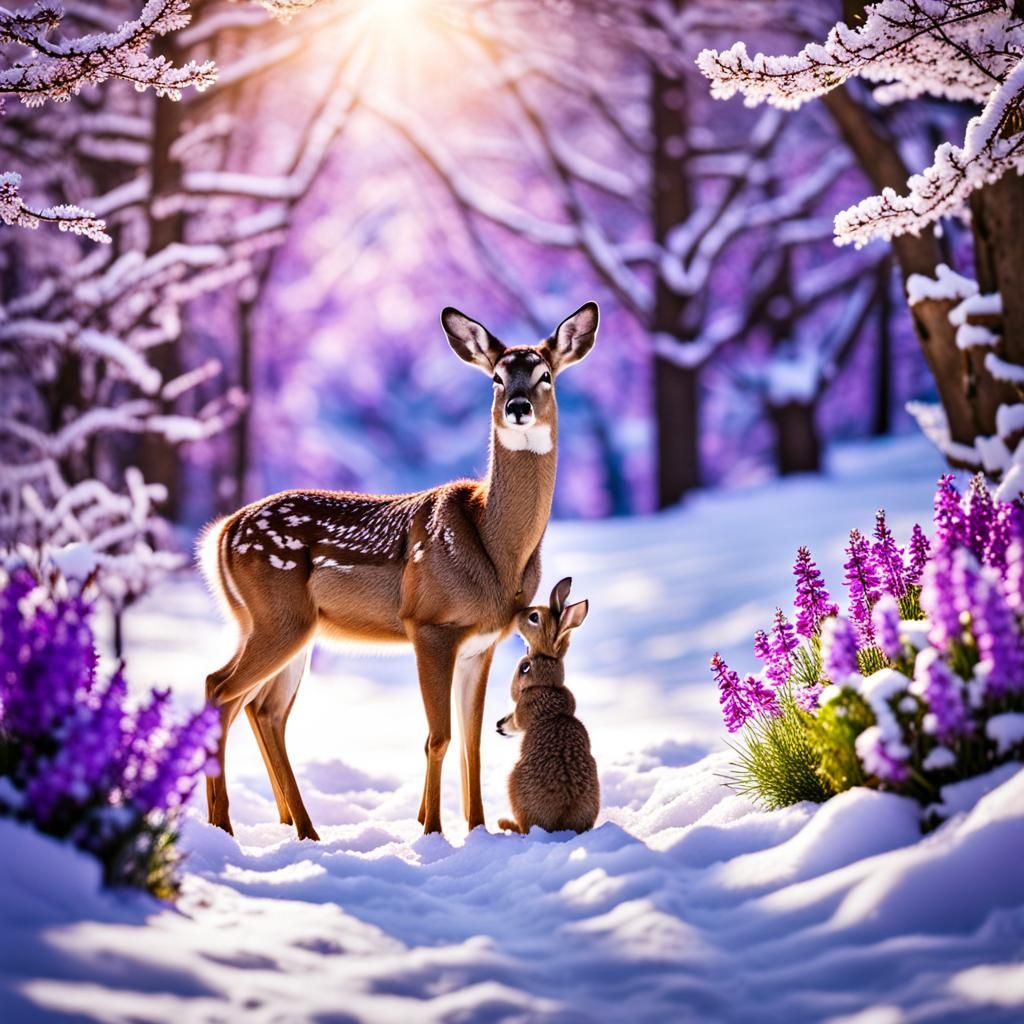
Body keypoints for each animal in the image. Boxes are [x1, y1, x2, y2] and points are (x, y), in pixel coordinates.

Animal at [496, 577, 599, 834]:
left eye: (534, 617)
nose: (517, 613)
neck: (546, 685)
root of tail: (560, 826)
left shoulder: (524, 710)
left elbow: (518, 720)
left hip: (513, 781)